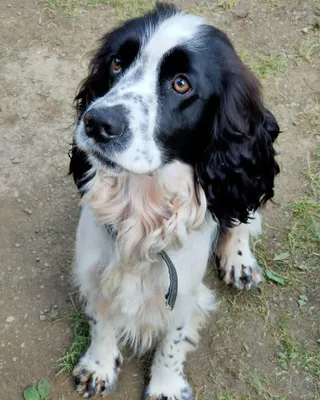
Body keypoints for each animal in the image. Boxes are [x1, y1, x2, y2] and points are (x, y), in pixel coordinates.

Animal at [69, 2, 278, 396]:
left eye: (182, 84)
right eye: (116, 63)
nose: (96, 122)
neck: (141, 206)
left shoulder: (183, 290)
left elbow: (173, 340)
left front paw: (165, 386)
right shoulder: (94, 269)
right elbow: (101, 320)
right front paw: (98, 366)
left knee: (240, 218)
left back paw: (239, 261)